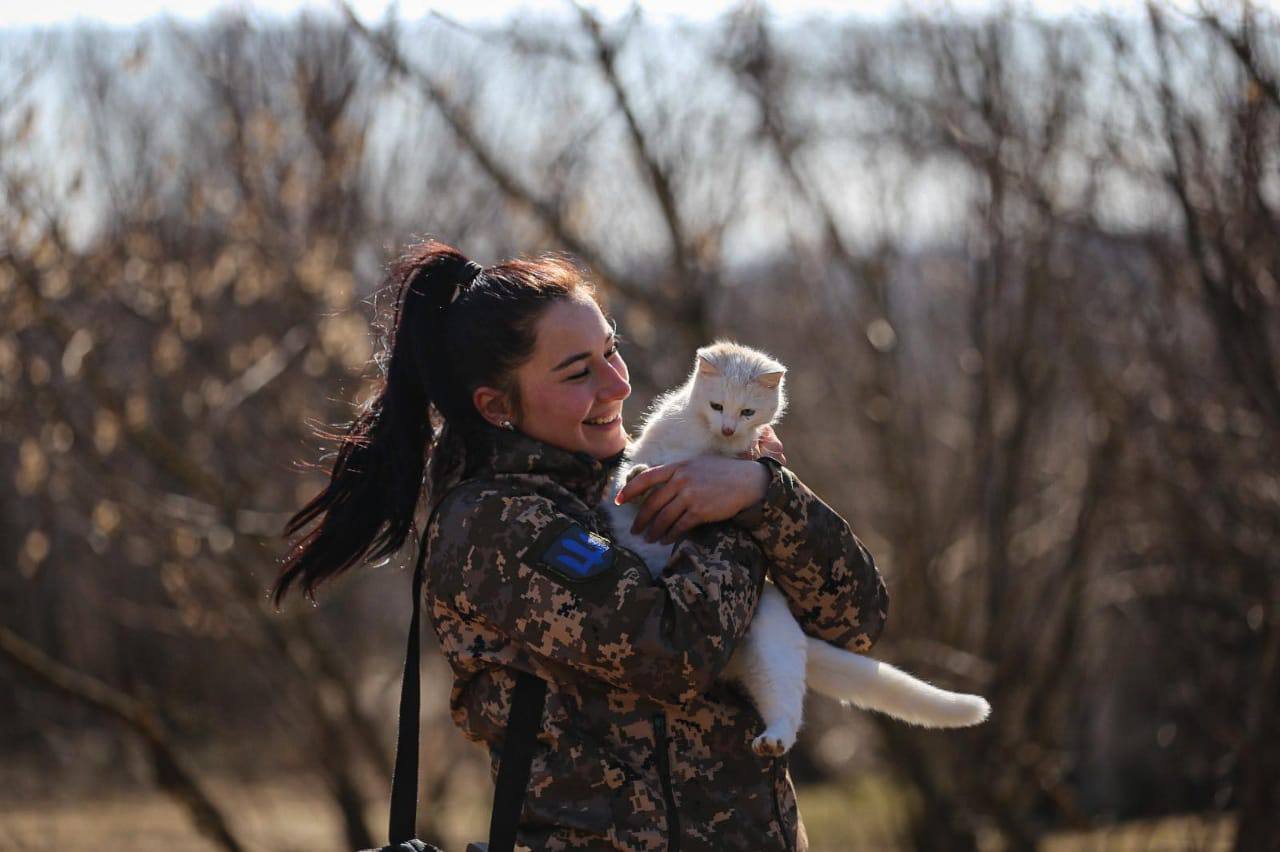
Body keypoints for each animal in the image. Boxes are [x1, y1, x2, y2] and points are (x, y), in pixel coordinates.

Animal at [606, 337, 988, 752]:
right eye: (717, 405)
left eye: (747, 411)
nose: (728, 429)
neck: (710, 443)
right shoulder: (659, 445)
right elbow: (644, 470)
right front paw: (635, 478)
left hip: (770, 654)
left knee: (788, 707)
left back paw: (772, 739)